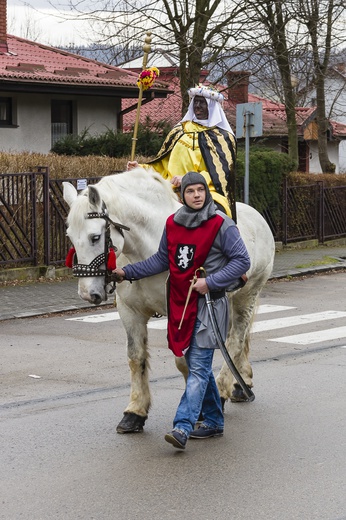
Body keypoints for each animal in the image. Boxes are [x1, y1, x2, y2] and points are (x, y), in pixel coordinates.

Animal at [63, 169, 274, 432]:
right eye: (71, 237)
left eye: (95, 237)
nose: (87, 294)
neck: (147, 249)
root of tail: (257, 217)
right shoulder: (129, 312)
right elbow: (136, 358)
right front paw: (135, 412)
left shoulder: (182, 313)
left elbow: (184, 361)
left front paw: (200, 407)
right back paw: (240, 383)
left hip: (248, 294)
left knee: (234, 341)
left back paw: (224, 388)